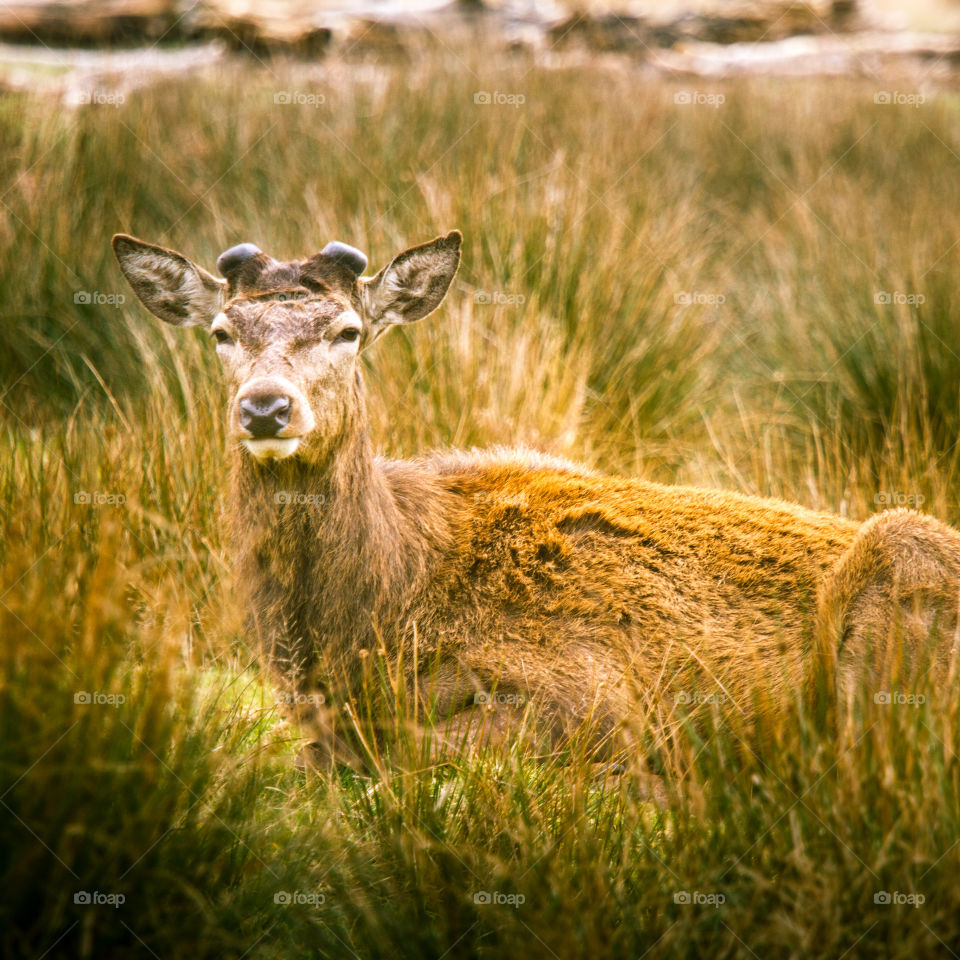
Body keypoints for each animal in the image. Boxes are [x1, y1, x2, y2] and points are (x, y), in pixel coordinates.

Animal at [114, 229, 960, 768]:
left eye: (349, 330)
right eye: (222, 332)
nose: (265, 408)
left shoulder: (595, 697)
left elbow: (408, 750)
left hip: (901, 574)